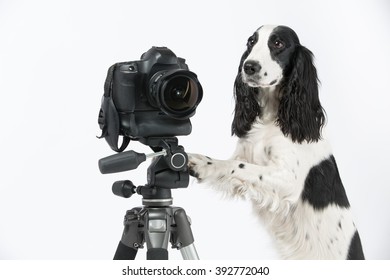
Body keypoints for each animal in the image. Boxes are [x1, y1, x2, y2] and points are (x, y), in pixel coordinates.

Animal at [187, 25, 364, 260]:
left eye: (278, 43)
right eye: (251, 42)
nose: (249, 66)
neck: (272, 116)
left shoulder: (289, 179)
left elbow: (238, 166)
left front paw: (197, 162)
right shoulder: (245, 153)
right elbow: (227, 164)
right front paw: (200, 162)